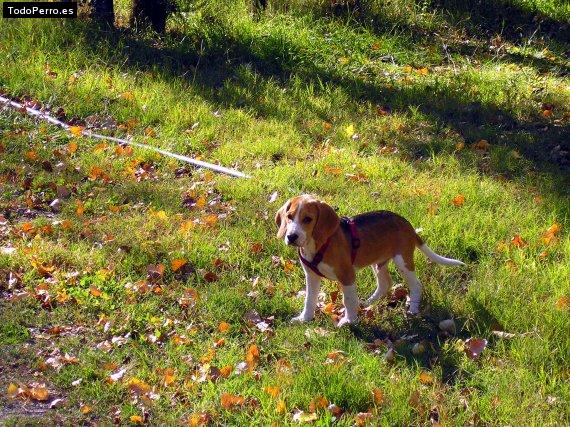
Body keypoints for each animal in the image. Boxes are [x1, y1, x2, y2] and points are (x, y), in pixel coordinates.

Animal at [272, 196, 464, 326]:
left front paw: (349, 321)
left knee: (416, 284)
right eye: (289, 217)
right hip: (378, 263)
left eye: (307, 219)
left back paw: (413, 309)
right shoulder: (311, 276)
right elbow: (309, 300)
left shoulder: (347, 275)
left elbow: (348, 300)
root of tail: (407, 224)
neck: (318, 244)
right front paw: (304, 319)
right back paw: (367, 303)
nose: (291, 236)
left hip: (403, 260)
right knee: (385, 283)